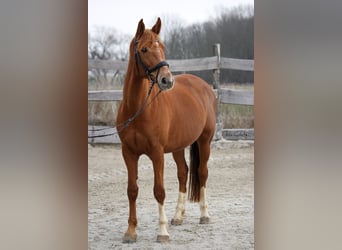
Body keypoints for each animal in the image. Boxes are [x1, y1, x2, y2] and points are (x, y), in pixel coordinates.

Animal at [116, 18, 215, 244]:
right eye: (144, 49)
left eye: (162, 47)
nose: (167, 80)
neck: (138, 108)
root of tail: (204, 86)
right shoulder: (128, 153)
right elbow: (132, 190)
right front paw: (130, 231)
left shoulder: (157, 153)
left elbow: (159, 191)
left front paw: (162, 232)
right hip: (178, 146)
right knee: (183, 173)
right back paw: (178, 217)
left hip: (205, 141)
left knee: (202, 173)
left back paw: (204, 215)